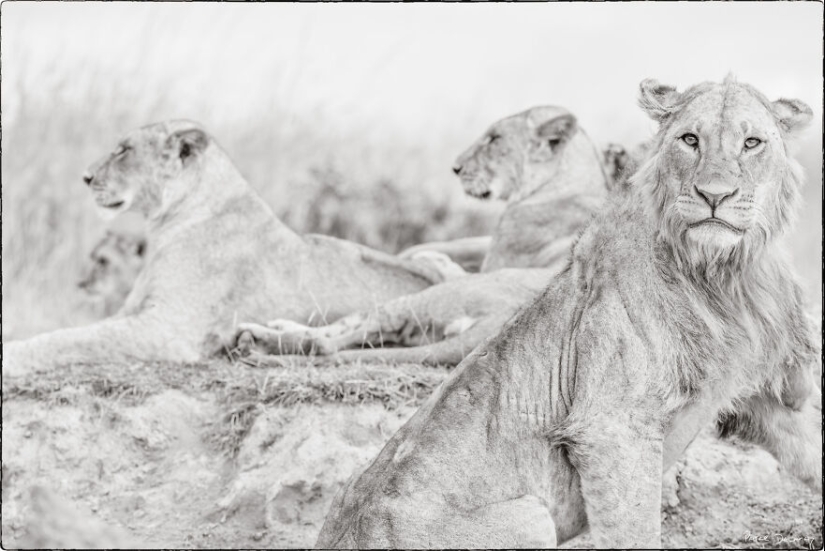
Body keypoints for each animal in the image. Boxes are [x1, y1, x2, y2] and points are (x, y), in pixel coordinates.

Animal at [3, 121, 448, 380]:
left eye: (123, 150)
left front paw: (13, 356)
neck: (166, 225)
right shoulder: (133, 311)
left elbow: (70, 339)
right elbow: (73, 332)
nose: (85, 177)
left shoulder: (167, 328)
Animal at [235, 108, 616, 366]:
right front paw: (424, 253)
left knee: (341, 337)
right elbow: (456, 247)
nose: (456, 168)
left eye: (494, 139)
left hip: (432, 299)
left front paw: (427, 257)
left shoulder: (498, 257)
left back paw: (260, 338)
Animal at [314, 76, 816, 548]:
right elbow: (634, 529)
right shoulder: (612, 428)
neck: (723, 275)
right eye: (690, 139)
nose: (715, 194)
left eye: (752, 143)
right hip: (532, 515)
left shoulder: (767, 398)